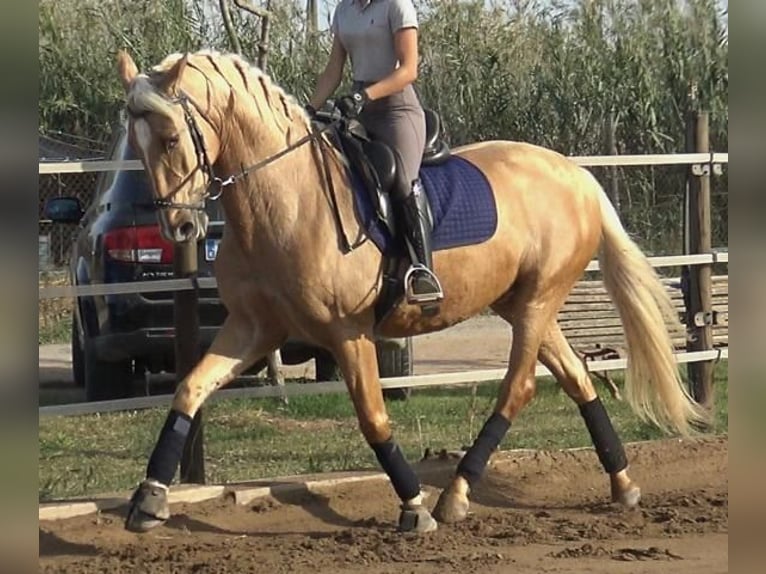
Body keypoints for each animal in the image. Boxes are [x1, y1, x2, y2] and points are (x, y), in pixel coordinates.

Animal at [115, 49, 708, 536]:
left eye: (171, 138)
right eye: (137, 147)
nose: (180, 228)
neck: (286, 201)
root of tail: (576, 176)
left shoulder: (348, 333)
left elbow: (373, 419)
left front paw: (413, 507)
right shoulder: (253, 328)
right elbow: (189, 389)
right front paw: (149, 500)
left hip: (538, 301)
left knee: (518, 389)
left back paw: (455, 495)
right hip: (523, 304)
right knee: (577, 376)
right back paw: (622, 483)